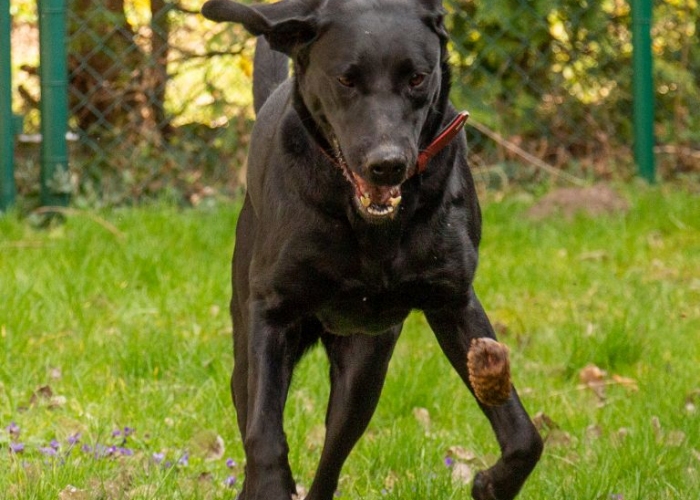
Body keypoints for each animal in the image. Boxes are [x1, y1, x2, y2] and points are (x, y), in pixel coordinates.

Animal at [202, 1, 540, 498]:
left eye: (417, 78)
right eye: (345, 80)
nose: (387, 165)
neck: (371, 229)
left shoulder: (453, 299)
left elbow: (524, 436)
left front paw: (491, 484)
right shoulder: (271, 313)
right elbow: (264, 437)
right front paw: (270, 482)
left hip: (364, 373)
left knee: (332, 456)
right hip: (248, 347)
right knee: (251, 409)